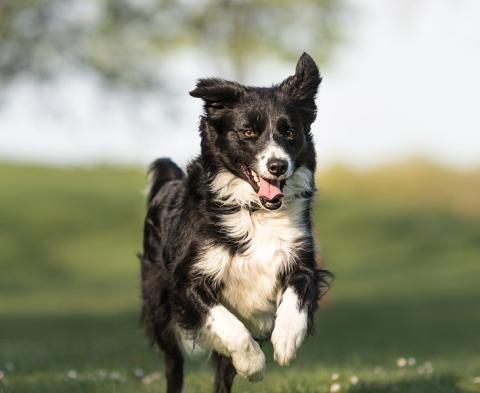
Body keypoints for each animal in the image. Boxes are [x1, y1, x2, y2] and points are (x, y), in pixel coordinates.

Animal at [140, 52, 330, 392]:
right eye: (248, 132)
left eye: (290, 132)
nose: (278, 165)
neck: (255, 211)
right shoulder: (186, 280)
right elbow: (228, 326)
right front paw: (252, 364)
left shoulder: (300, 257)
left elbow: (298, 293)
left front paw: (286, 339)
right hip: (158, 307)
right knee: (174, 364)